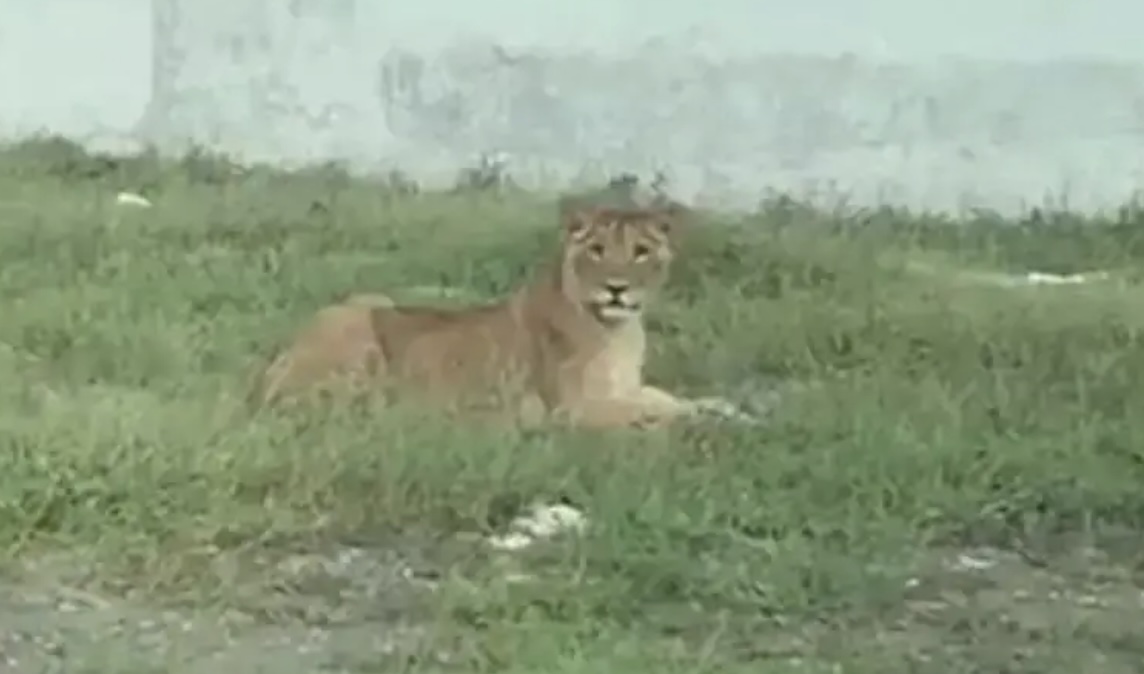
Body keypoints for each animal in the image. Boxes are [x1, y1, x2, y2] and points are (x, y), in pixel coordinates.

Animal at [248, 201, 745, 429]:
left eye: (641, 252)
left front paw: (723, 407)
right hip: (358, 326)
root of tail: (271, 374)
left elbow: (667, 398)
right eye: (597, 250)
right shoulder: (574, 408)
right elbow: (653, 412)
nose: (617, 288)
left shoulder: (626, 386)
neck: (621, 330)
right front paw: (704, 420)